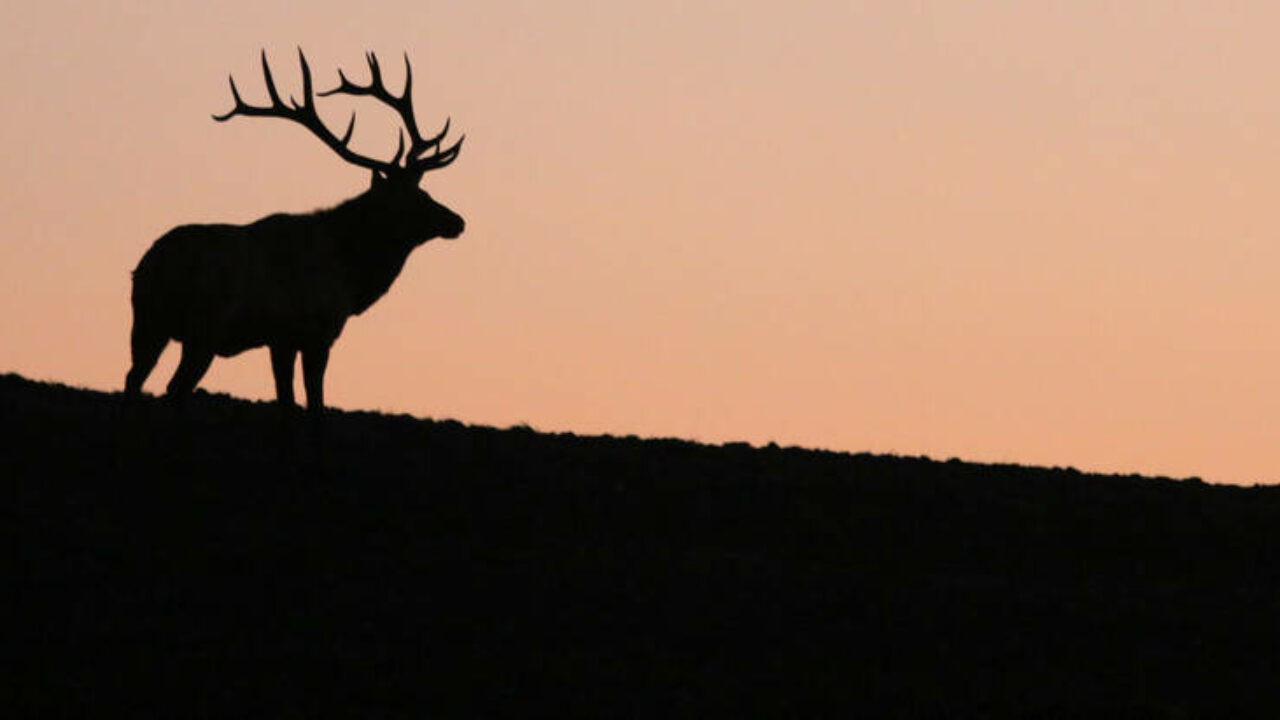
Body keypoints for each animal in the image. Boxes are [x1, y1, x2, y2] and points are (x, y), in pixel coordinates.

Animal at [123, 49, 465, 409]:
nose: (457, 221)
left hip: (148, 324)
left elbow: (285, 396)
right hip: (202, 328)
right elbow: (313, 401)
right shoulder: (316, 332)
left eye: (425, 190)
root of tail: (152, 267)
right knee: (173, 387)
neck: (350, 273)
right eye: (416, 198)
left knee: (134, 379)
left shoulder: (280, 340)